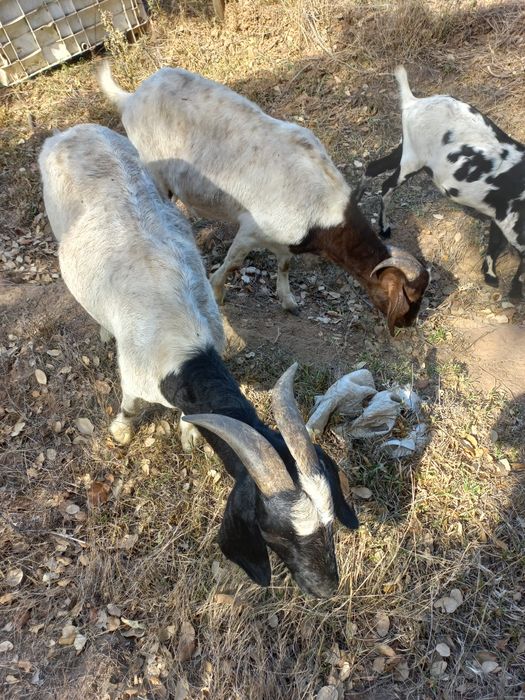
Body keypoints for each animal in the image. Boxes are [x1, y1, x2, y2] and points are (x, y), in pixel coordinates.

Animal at [39, 123, 359, 598]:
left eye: (330, 523)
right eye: (274, 534)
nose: (327, 587)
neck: (189, 355)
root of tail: (73, 131)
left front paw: (189, 434)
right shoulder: (137, 376)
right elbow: (130, 407)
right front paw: (120, 434)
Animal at [98, 62, 429, 334]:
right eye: (408, 297)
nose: (408, 324)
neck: (324, 209)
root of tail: (131, 98)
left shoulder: (286, 238)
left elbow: (284, 265)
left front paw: (288, 301)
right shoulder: (252, 229)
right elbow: (234, 261)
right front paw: (217, 292)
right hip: (153, 170)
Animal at [363, 66, 525, 300]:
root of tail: (413, 103)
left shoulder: (500, 213)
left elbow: (495, 240)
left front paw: (490, 275)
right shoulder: (513, 221)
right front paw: (513, 293)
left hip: (405, 149)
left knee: (372, 167)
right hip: (412, 160)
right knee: (386, 186)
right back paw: (383, 228)